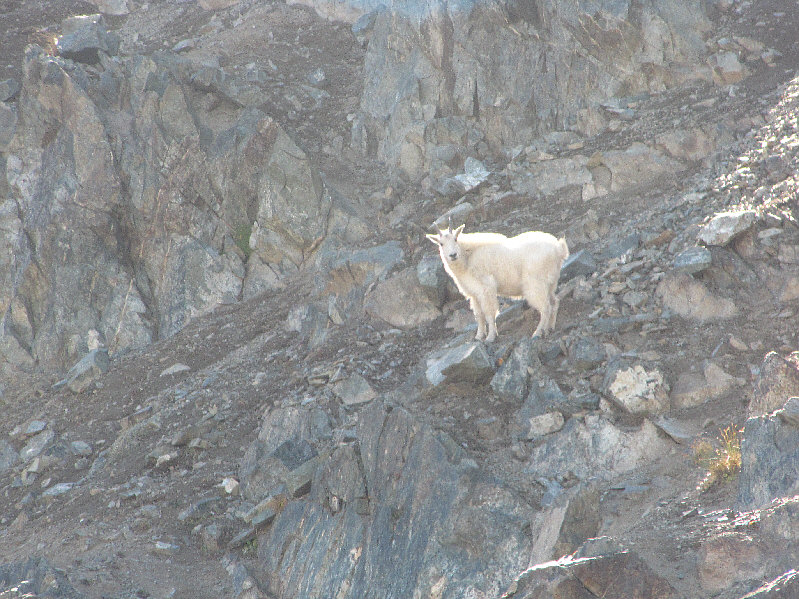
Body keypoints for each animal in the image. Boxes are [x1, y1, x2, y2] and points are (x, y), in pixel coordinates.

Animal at [426, 223, 569, 342]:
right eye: (441, 243)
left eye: (455, 239)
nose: (453, 255)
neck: (468, 258)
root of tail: (558, 249)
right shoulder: (474, 294)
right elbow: (479, 315)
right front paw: (478, 336)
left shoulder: (486, 288)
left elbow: (489, 313)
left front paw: (490, 337)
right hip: (550, 284)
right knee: (554, 302)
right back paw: (550, 328)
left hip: (535, 285)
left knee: (545, 308)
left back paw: (538, 332)